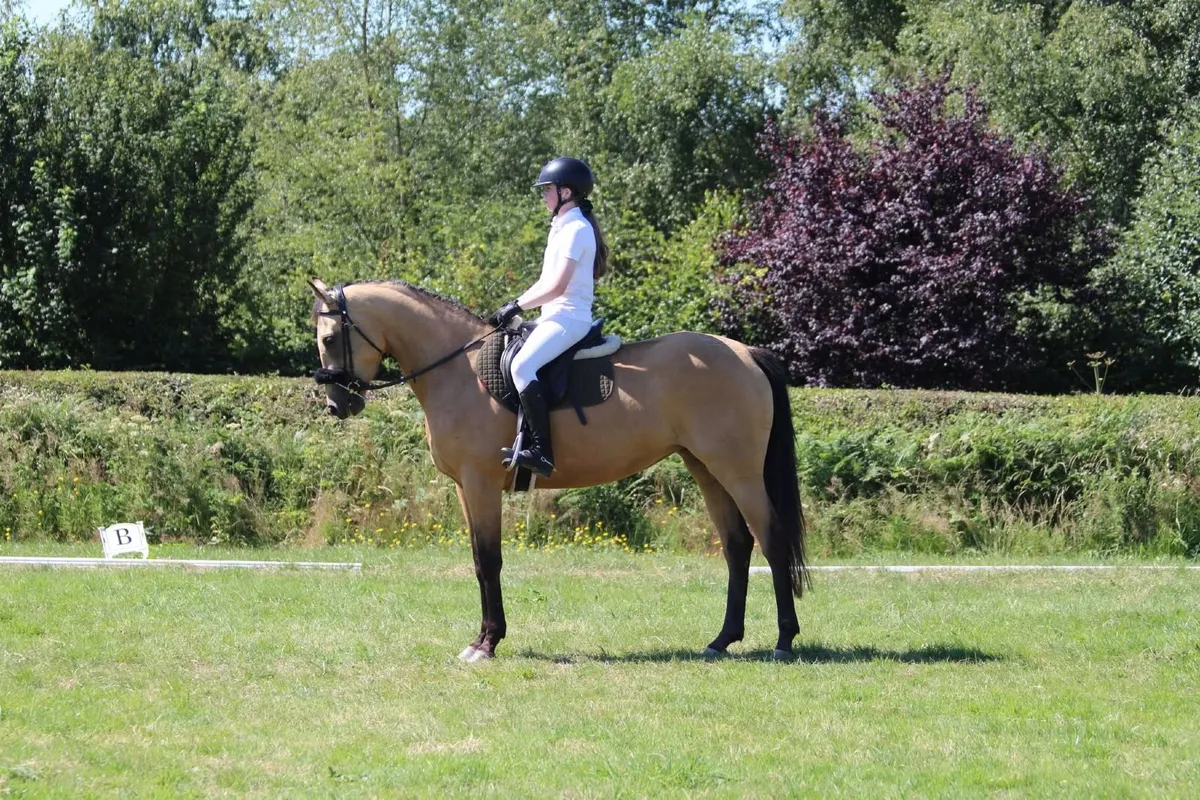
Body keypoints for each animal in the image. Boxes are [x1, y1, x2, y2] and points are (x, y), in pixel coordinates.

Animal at [309, 278, 808, 661]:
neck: (460, 370)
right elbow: (478, 561)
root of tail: (743, 353)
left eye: (330, 338)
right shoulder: (465, 489)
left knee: (771, 540)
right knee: (737, 547)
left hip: (739, 472)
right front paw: (481, 639)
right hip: (706, 468)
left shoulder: (480, 483)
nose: (338, 405)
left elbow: (489, 560)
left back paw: (784, 640)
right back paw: (722, 640)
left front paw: (487, 644)